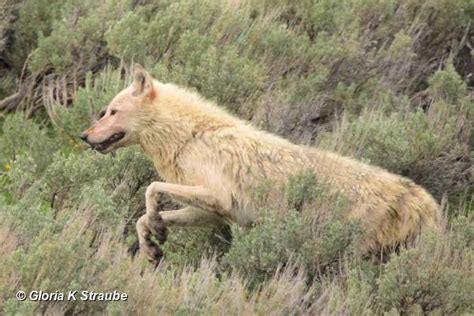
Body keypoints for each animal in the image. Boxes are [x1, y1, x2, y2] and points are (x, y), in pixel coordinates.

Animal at [80, 63, 440, 262]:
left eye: (111, 112)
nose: (84, 136)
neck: (191, 137)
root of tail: (424, 199)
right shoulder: (213, 213)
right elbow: (143, 219)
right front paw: (152, 244)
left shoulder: (217, 197)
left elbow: (151, 189)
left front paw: (155, 225)